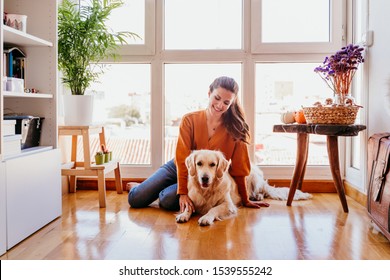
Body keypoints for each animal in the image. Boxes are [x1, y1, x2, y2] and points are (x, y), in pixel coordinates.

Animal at [175, 150, 312, 226]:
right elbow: (188, 207)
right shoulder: (192, 200)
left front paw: (206, 218)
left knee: (262, 191)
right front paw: (183, 215)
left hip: (252, 177)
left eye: (213, 164)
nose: (204, 178)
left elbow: (213, 209)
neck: (206, 191)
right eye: (199, 163)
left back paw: (257, 197)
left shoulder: (228, 205)